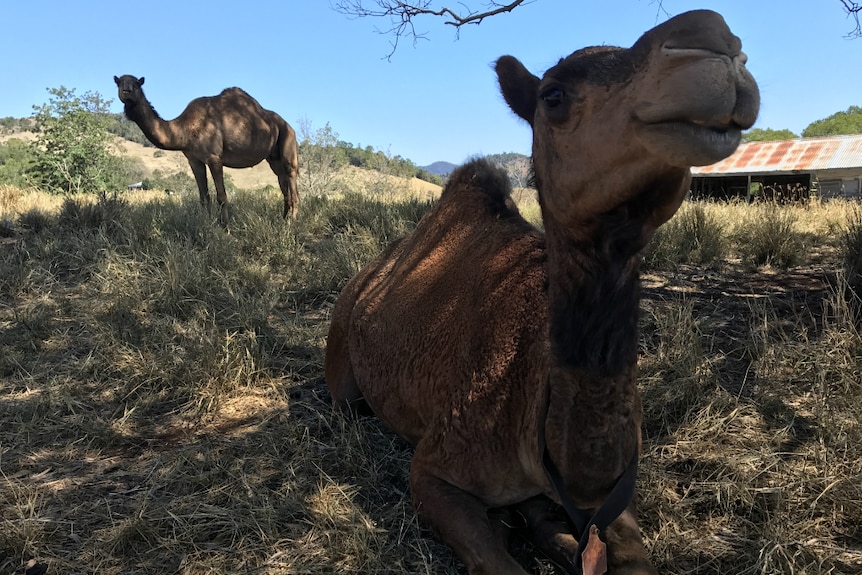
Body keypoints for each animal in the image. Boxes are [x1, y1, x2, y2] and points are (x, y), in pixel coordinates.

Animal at [114, 77, 300, 226]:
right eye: (119, 82)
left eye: (136, 84)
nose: (126, 91)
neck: (184, 128)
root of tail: (288, 125)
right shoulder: (193, 159)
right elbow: (204, 197)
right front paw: (206, 224)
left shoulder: (214, 157)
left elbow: (222, 196)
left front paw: (226, 228)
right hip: (273, 158)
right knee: (283, 183)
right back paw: (282, 220)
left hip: (288, 141)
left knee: (292, 179)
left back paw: (291, 224)